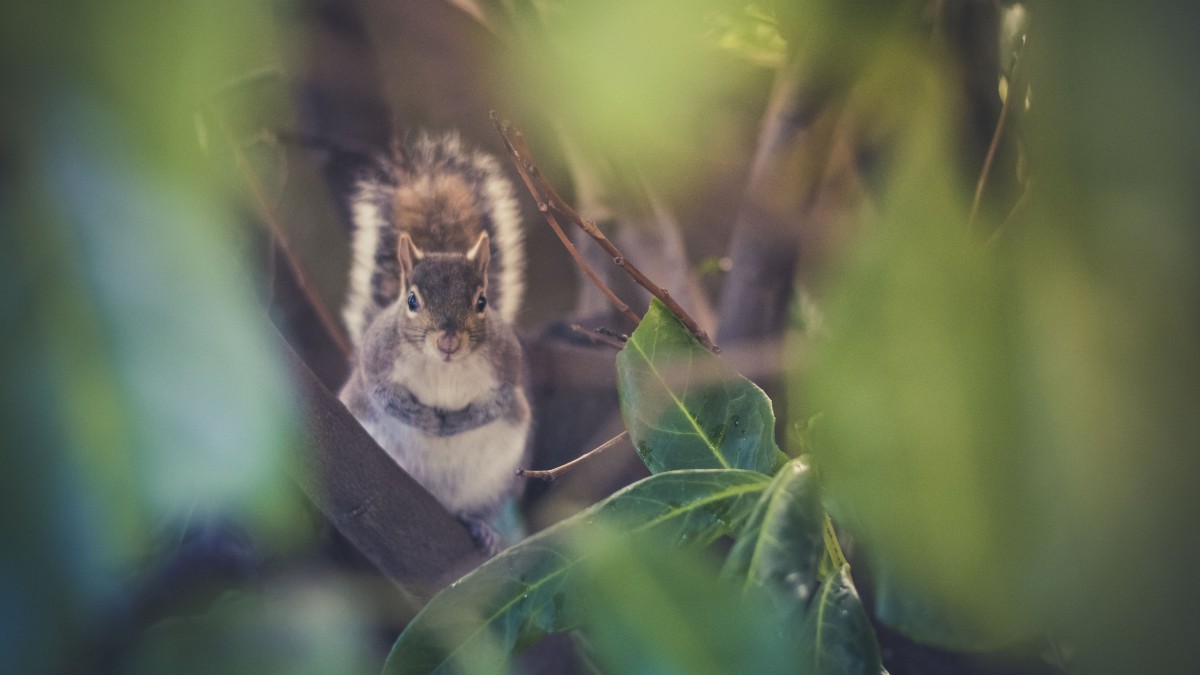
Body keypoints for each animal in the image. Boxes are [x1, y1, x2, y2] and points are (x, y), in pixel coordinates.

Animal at [336, 130, 528, 552]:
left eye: (482, 302)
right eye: (411, 300)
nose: (448, 342)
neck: (443, 367)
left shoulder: (508, 366)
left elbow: (496, 403)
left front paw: (456, 424)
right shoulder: (376, 362)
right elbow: (384, 397)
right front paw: (422, 418)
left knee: (473, 509)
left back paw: (480, 527)